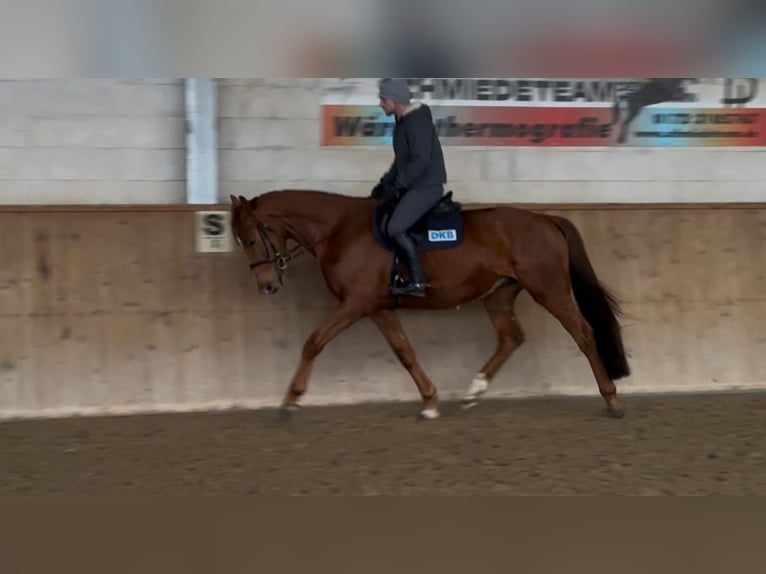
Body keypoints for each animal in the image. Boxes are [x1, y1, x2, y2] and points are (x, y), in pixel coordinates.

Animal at [229, 189, 630, 420]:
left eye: (250, 239)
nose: (267, 286)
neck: (340, 229)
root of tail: (545, 218)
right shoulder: (377, 307)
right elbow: (404, 351)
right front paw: (430, 400)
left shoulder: (356, 303)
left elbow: (313, 342)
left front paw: (290, 401)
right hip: (498, 294)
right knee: (511, 338)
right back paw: (473, 392)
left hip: (549, 289)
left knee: (583, 333)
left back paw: (611, 400)